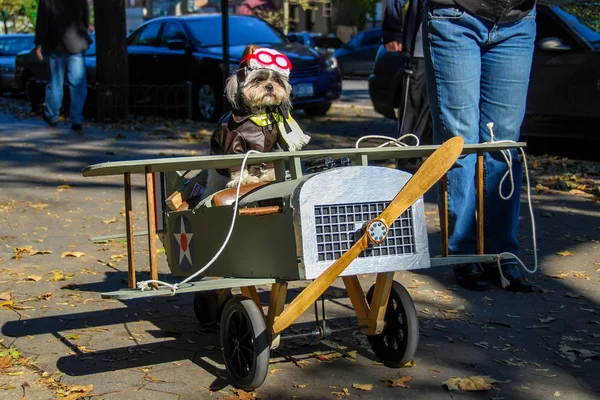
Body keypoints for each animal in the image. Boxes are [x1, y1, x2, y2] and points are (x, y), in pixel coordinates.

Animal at [210, 44, 312, 188]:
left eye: (277, 80)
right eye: (258, 80)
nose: (270, 86)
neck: (259, 115)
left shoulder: (271, 145)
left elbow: (271, 161)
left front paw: (271, 176)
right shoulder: (233, 141)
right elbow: (238, 163)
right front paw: (243, 179)